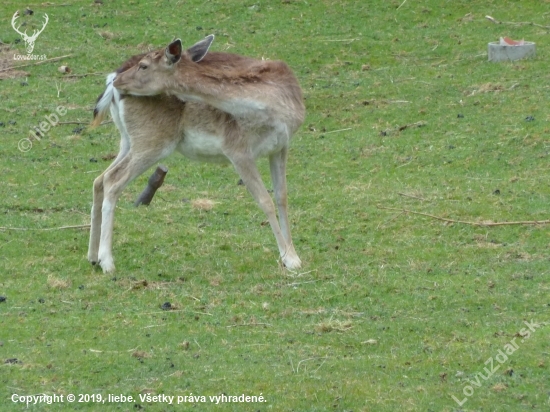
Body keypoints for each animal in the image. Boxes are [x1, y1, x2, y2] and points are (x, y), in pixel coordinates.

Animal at [89, 35, 306, 274]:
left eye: (143, 65)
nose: (120, 81)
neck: (273, 107)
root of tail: (111, 77)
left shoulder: (280, 146)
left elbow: (281, 197)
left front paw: (294, 256)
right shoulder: (236, 147)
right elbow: (264, 200)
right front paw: (288, 259)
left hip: (129, 139)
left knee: (99, 179)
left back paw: (92, 257)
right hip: (153, 140)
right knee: (112, 180)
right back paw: (107, 262)